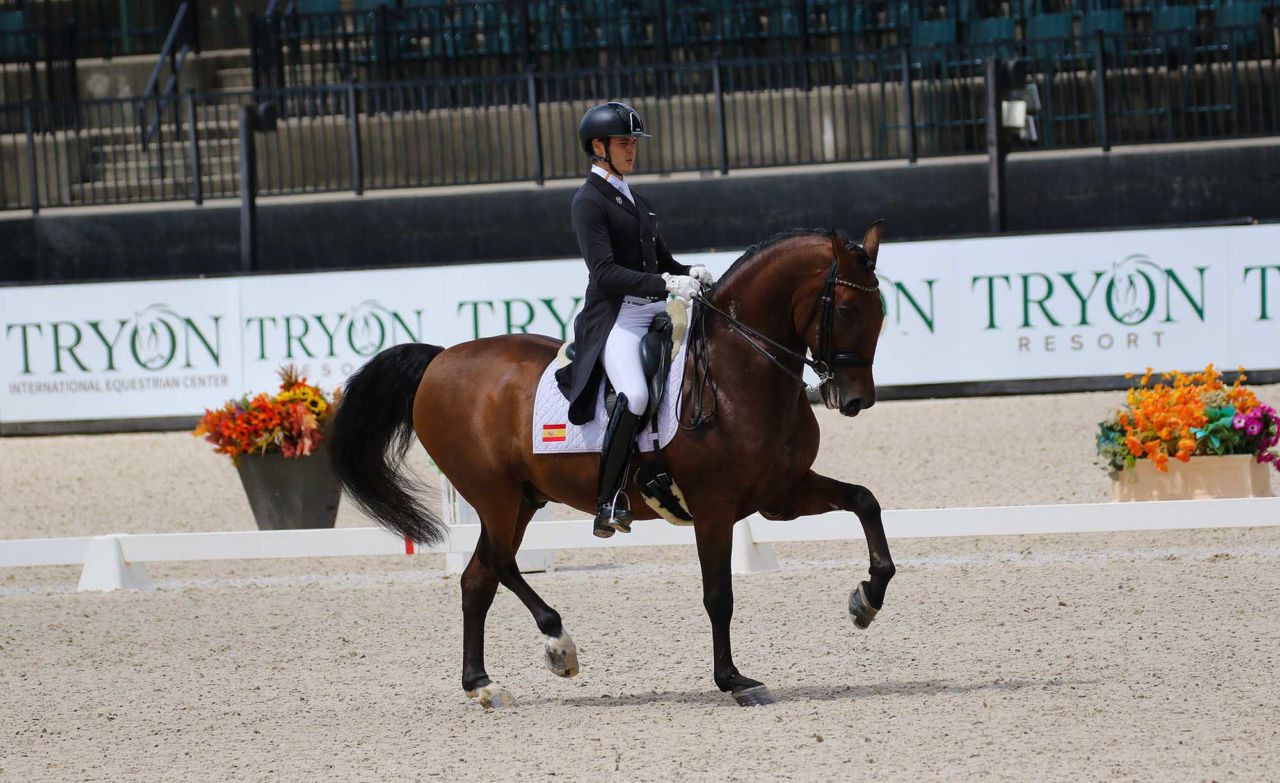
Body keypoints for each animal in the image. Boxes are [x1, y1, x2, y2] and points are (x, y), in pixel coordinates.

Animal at [325, 221, 896, 711]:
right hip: (494, 494)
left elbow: (866, 500)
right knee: (500, 565)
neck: (739, 372)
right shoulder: (715, 509)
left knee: (478, 578)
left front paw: (865, 600)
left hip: (522, 498)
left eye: (882, 311)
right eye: (846, 309)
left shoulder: (781, 495)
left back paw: (483, 685)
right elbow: (719, 596)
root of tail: (440, 359)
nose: (855, 400)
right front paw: (734, 680)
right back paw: (559, 645)